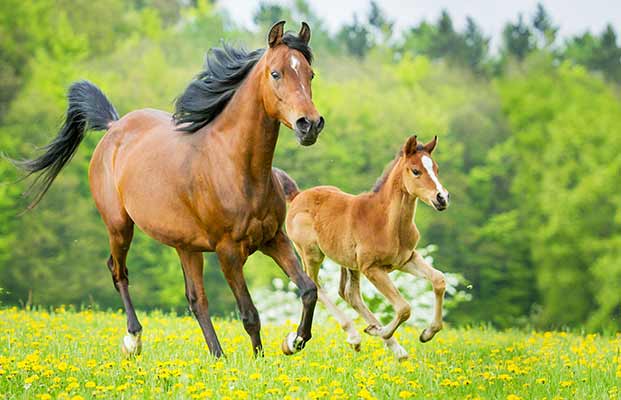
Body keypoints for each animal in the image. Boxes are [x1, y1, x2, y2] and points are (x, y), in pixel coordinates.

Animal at [12, 21, 324, 360]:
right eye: (276, 73)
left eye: (310, 74)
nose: (309, 125)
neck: (236, 168)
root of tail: (113, 126)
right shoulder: (228, 251)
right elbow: (249, 314)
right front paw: (259, 362)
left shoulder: (273, 238)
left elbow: (309, 290)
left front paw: (294, 341)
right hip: (120, 226)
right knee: (118, 271)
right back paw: (134, 341)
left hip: (186, 246)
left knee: (196, 299)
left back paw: (217, 356)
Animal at [274, 135, 448, 360]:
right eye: (416, 170)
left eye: (436, 169)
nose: (442, 198)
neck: (386, 222)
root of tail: (297, 195)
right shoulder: (371, 268)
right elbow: (404, 308)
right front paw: (379, 331)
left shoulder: (407, 259)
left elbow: (439, 280)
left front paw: (427, 333)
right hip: (311, 254)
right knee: (317, 287)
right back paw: (355, 335)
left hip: (348, 262)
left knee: (348, 293)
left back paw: (394, 348)